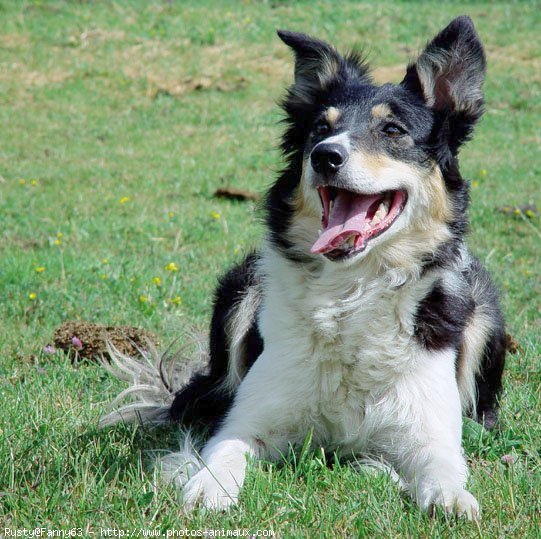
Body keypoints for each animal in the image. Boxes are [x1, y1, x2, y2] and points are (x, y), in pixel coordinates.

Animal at [102, 16, 506, 520]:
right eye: (319, 128)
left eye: (393, 130)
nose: (325, 156)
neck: (350, 292)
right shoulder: (248, 419)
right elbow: (226, 450)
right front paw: (208, 486)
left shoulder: (429, 429)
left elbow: (443, 467)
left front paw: (452, 498)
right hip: (239, 289)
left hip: (483, 309)